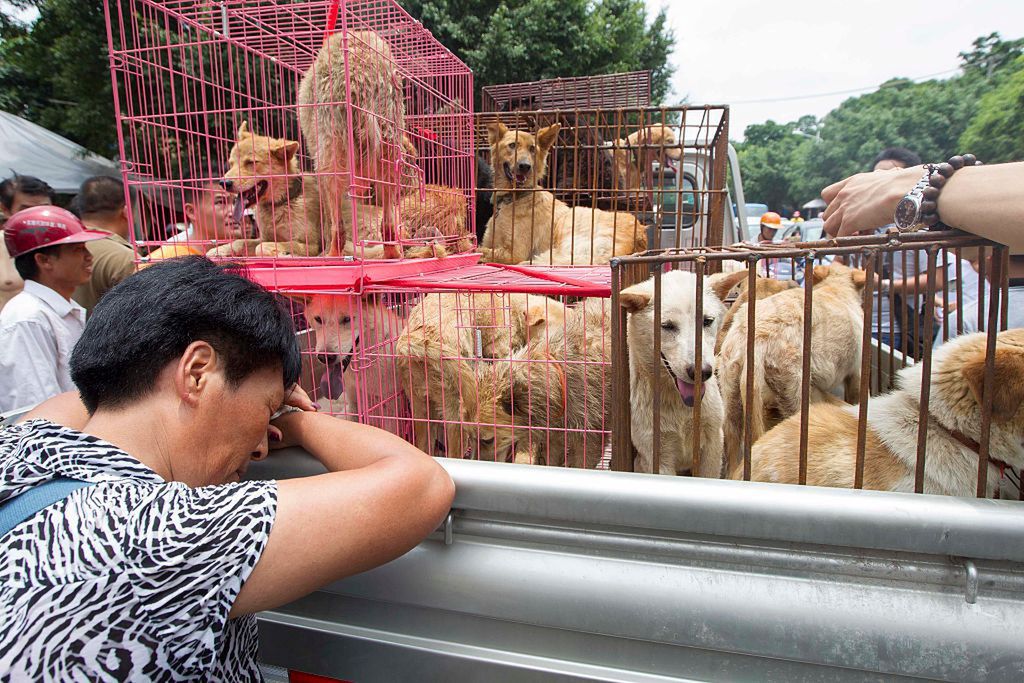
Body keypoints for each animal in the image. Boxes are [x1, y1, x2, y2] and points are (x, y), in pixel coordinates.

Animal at [610, 270, 733, 479]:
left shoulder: (713, 445)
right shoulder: (657, 456)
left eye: (707, 321)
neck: (681, 408)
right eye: (667, 326)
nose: (702, 372)